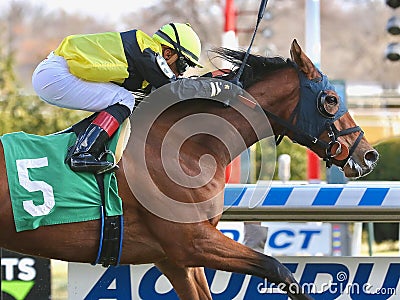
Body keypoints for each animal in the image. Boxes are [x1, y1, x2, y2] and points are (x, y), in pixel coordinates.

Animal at [0, 39, 378, 300]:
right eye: (330, 99)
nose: (370, 155)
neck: (187, 146)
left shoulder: (176, 259)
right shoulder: (192, 242)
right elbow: (278, 268)